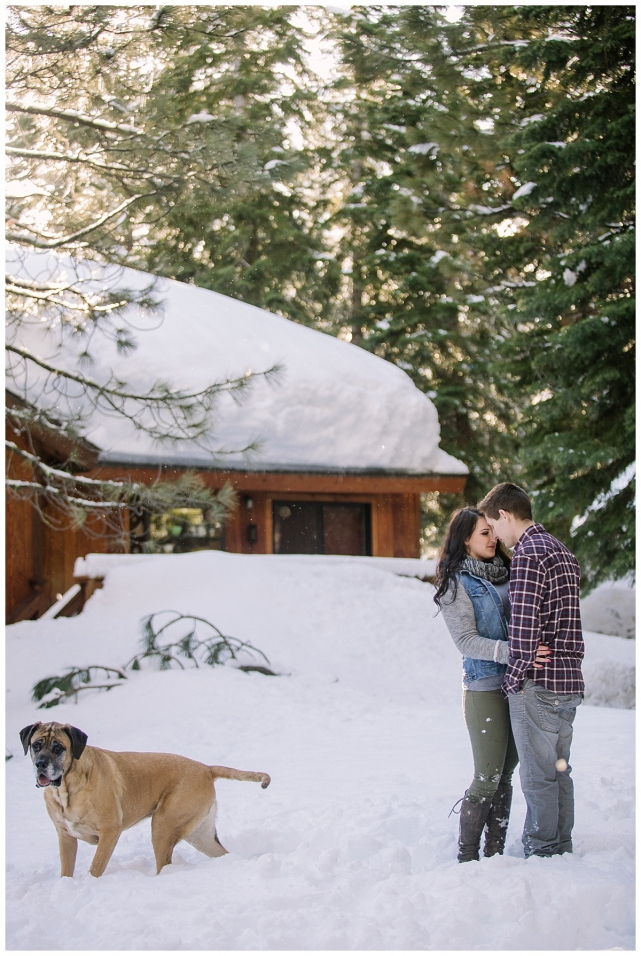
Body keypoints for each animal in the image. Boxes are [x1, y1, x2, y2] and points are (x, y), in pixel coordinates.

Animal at [20, 720, 268, 876]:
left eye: (58, 748)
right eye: (36, 745)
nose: (41, 764)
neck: (66, 789)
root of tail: (206, 768)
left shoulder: (110, 832)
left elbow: (95, 868)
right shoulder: (66, 837)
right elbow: (66, 872)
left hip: (163, 825)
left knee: (164, 865)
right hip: (199, 834)